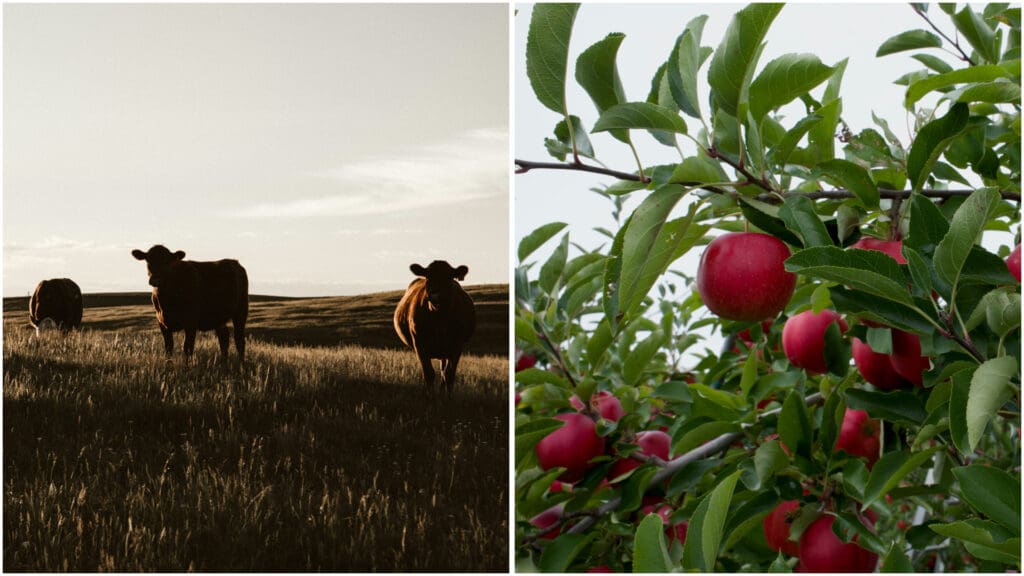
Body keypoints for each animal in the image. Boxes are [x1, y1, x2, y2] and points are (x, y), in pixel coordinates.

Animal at [393, 259, 477, 389]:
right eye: (428, 277)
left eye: (449, 277)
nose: (436, 295)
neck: (439, 317)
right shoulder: (419, 344)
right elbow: (429, 374)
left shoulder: (457, 345)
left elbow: (449, 376)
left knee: (443, 372)